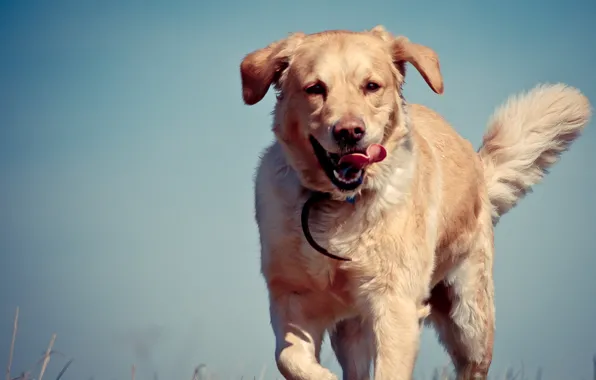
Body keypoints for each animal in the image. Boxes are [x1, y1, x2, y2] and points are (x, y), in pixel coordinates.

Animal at [239, 25, 592, 378]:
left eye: (371, 86)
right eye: (315, 89)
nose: (350, 132)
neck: (340, 203)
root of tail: (478, 167)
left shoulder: (396, 304)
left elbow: (389, 369)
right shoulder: (293, 297)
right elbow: (288, 358)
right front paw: (322, 374)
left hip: (469, 319)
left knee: (472, 363)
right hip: (354, 328)